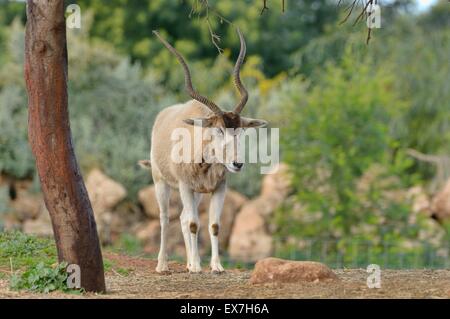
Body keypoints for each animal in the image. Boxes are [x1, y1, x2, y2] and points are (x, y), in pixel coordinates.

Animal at [140, 28, 268, 276]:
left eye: (240, 130)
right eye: (218, 129)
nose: (237, 164)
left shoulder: (218, 188)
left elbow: (214, 225)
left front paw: (215, 266)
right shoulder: (184, 186)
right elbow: (193, 223)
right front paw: (198, 267)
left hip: (197, 192)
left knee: (182, 218)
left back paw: (189, 262)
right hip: (162, 182)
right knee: (165, 218)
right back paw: (163, 265)